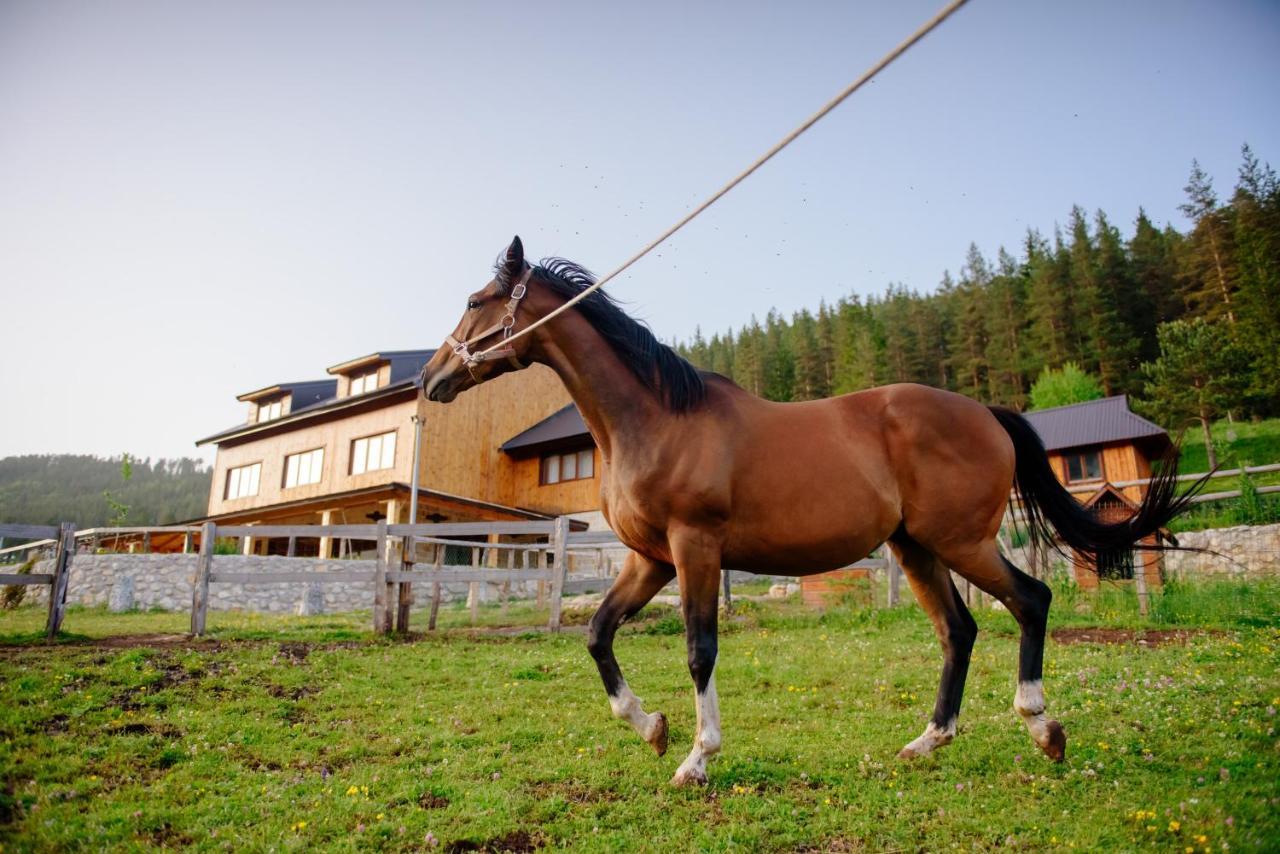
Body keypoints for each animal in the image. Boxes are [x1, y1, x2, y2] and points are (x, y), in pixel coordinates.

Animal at [422, 236, 1198, 783]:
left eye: (476, 299)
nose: (432, 378)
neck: (655, 419)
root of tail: (986, 412)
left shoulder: (694, 549)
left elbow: (699, 650)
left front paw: (697, 758)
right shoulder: (651, 560)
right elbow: (597, 634)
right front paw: (651, 727)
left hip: (962, 541)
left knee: (1030, 601)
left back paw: (1042, 729)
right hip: (916, 548)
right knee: (960, 630)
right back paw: (927, 741)